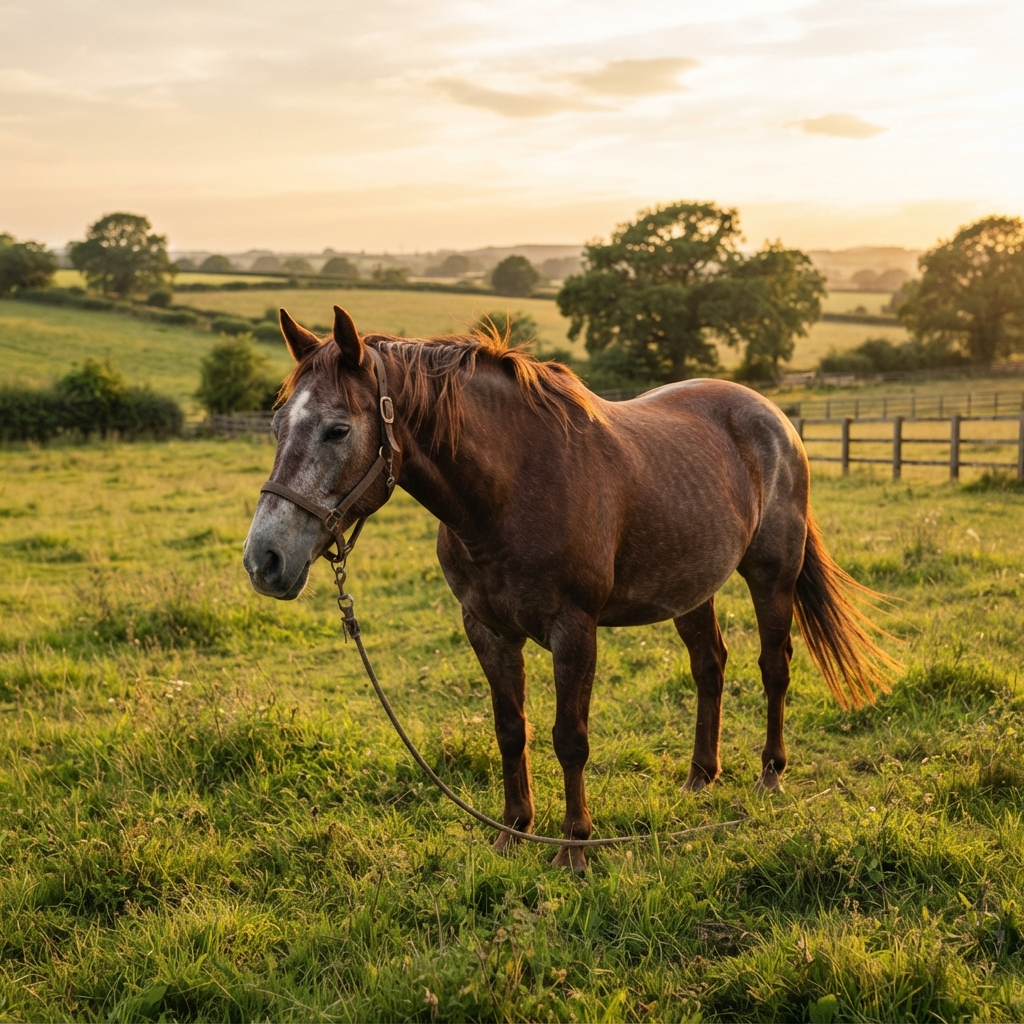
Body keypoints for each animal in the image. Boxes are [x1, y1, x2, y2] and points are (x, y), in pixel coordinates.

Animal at [243, 305, 894, 870]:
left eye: (337, 430)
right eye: (276, 424)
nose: (264, 559)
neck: (512, 488)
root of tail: (774, 418)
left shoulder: (574, 630)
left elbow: (569, 738)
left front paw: (574, 848)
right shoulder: (486, 629)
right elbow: (511, 730)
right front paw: (512, 834)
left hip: (771, 574)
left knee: (774, 667)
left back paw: (769, 774)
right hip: (689, 587)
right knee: (710, 666)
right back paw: (698, 778)